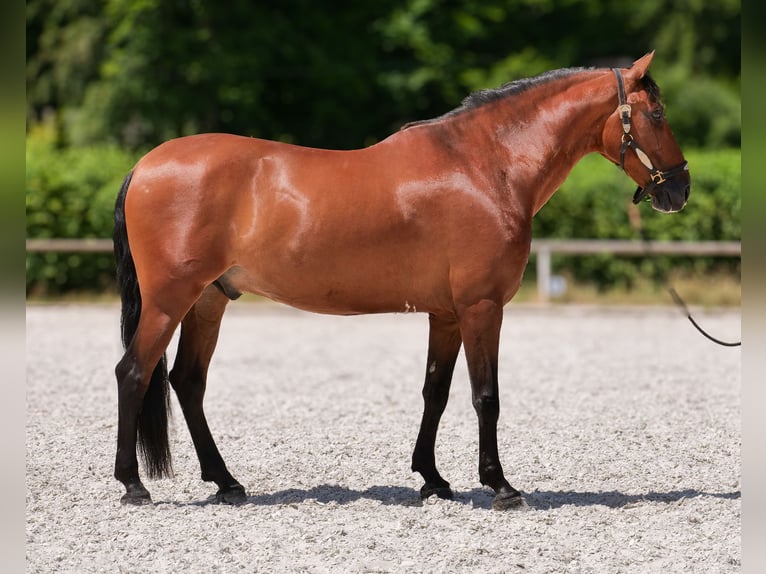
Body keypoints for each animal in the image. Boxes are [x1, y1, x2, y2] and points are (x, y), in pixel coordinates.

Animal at [112, 51, 689, 510]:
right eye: (657, 114)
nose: (680, 189)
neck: (485, 166)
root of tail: (143, 165)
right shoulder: (482, 307)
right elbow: (486, 396)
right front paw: (500, 486)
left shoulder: (448, 313)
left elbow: (436, 391)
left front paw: (433, 479)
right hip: (168, 301)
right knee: (134, 373)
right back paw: (133, 485)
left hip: (209, 301)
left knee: (188, 381)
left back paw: (227, 483)